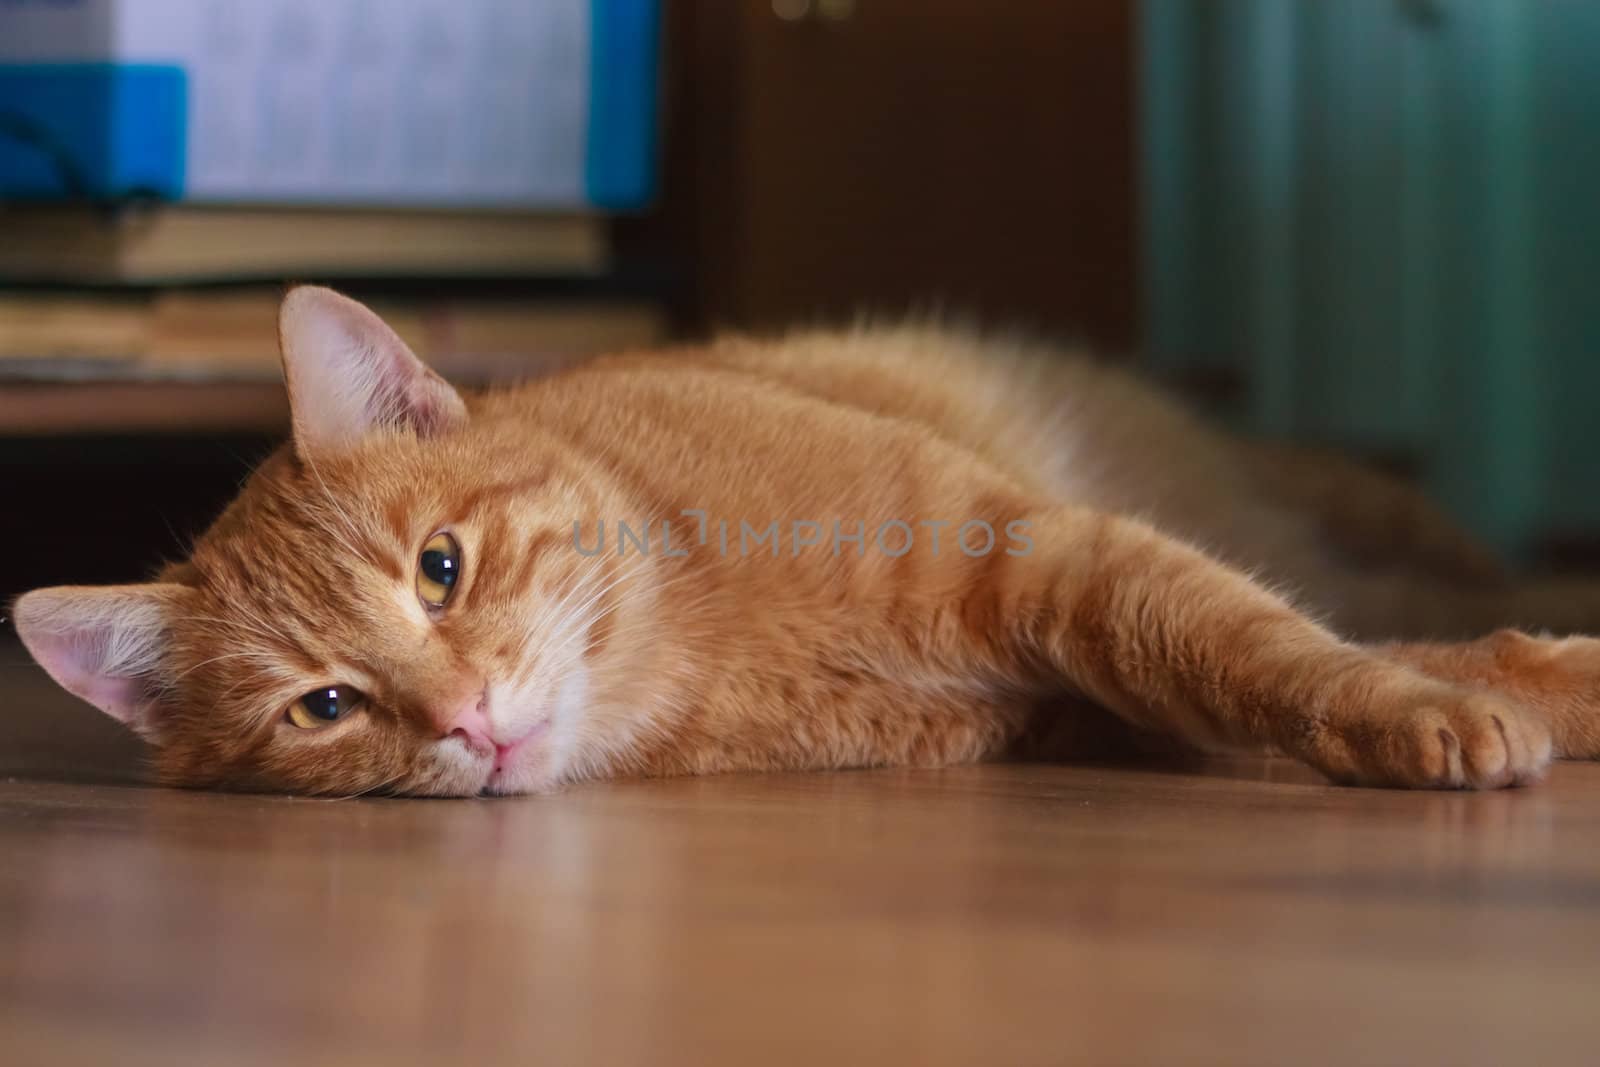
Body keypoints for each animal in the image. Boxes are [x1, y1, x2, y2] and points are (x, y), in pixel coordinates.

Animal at [12, 287, 1600, 796]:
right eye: (325, 706)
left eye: (440, 568)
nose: (466, 717)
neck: (703, 641)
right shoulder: (1089, 696)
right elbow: (1251, 661)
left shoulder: (1055, 551)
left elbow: (1270, 645)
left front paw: (1480, 697)